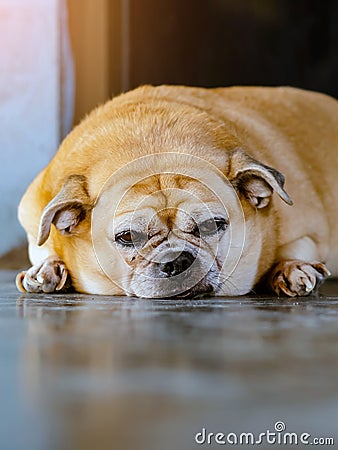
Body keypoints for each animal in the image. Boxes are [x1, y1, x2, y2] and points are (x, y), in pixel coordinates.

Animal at [15, 85, 338, 298]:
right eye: (127, 237)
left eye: (213, 226)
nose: (177, 259)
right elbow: (43, 248)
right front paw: (46, 268)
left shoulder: (307, 234)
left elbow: (296, 248)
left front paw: (292, 268)